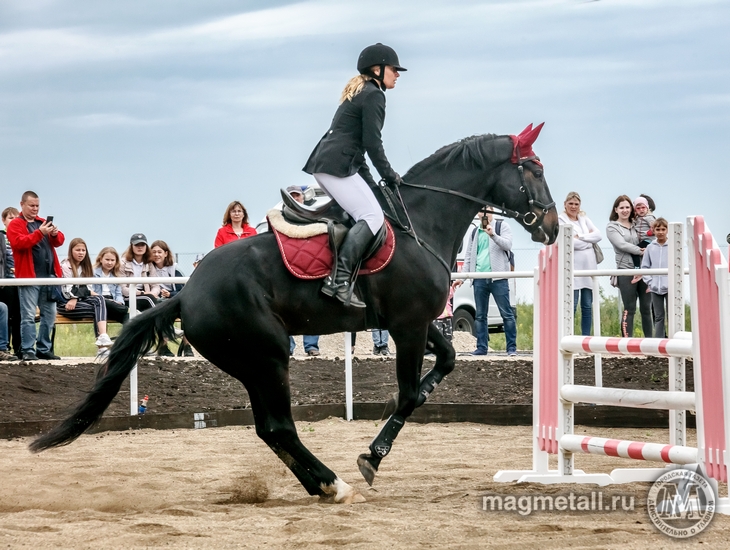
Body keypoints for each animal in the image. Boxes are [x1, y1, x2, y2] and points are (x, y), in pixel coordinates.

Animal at [29, 125, 556, 504]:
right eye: (533, 169)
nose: (551, 226)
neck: (420, 225)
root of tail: (186, 293)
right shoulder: (408, 326)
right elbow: (407, 395)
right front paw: (372, 457)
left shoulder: (414, 324)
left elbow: (445, 362)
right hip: (268, 356)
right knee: (280, 426)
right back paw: (334, 484)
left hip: (251, 363)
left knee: (270, 428)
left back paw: (317, 484)